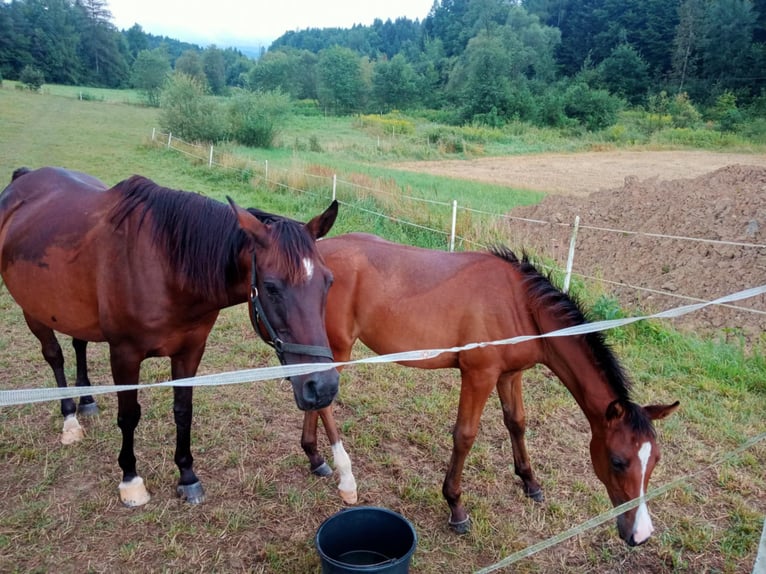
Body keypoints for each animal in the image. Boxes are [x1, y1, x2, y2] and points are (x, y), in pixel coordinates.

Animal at [0, 166, 340, 508]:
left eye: (328, 282)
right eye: (271, 287)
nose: (323, 387)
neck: (165, 266)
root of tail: (24, 178)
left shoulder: (190, 350)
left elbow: (183, 410)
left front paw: (187, 476)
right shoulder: (124, 354)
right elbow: (129, 415)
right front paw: (131, 480)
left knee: (77, 343)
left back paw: (86, 400)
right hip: (35, 312)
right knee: (54, 356)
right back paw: (70, 419)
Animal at [304, 234, 680, 548]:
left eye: (655, 460)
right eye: (618, 461)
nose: (640, 534)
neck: (522, 305)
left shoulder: (510, 376)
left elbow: (517, 423)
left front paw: (530, 482)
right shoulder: (479, 376)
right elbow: (465, 435)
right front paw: (456, 507)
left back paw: (315, 457)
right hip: (338, 349)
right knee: (322, 400)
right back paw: (344, 478)